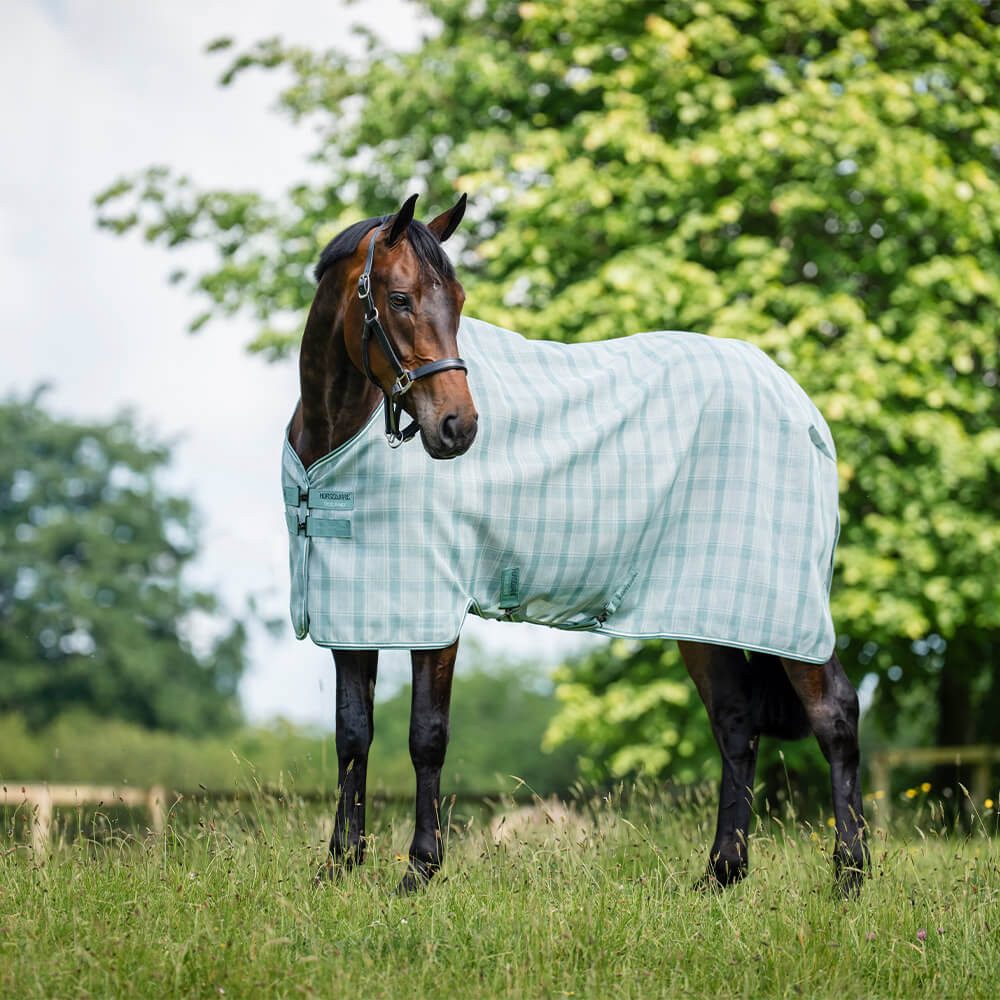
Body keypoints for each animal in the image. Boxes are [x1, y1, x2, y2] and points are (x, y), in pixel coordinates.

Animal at [285, 193, 868, 895]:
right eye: (399, 299)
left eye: (457, 299)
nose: (458, 427)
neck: (336, 441)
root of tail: (801, 405)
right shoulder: (352, 606)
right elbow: (353, 735)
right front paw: (338, 866)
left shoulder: (434, 611)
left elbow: (427, 735)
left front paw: (420, 870)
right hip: (704, 612)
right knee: (736, 723)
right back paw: (721, 874)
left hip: (786, 603)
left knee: (834, 713)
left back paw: (849, 878)